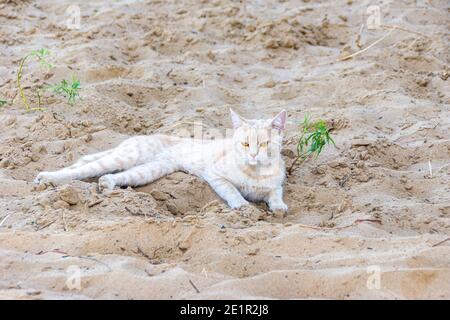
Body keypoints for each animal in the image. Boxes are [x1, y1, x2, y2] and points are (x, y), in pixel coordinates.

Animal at [34, 109, 288, 212]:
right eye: (245, 144)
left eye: (263, 144)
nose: (253, 155)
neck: (256, 172)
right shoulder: (215, 174)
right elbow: (232, 190)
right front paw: (242, 205)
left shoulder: (276, 184)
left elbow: (275, 193)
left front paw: (278, 206)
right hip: (127, 156)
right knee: (83, 169)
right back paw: (47, 178)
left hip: (147, 171)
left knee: (112, 176)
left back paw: (106, 184)